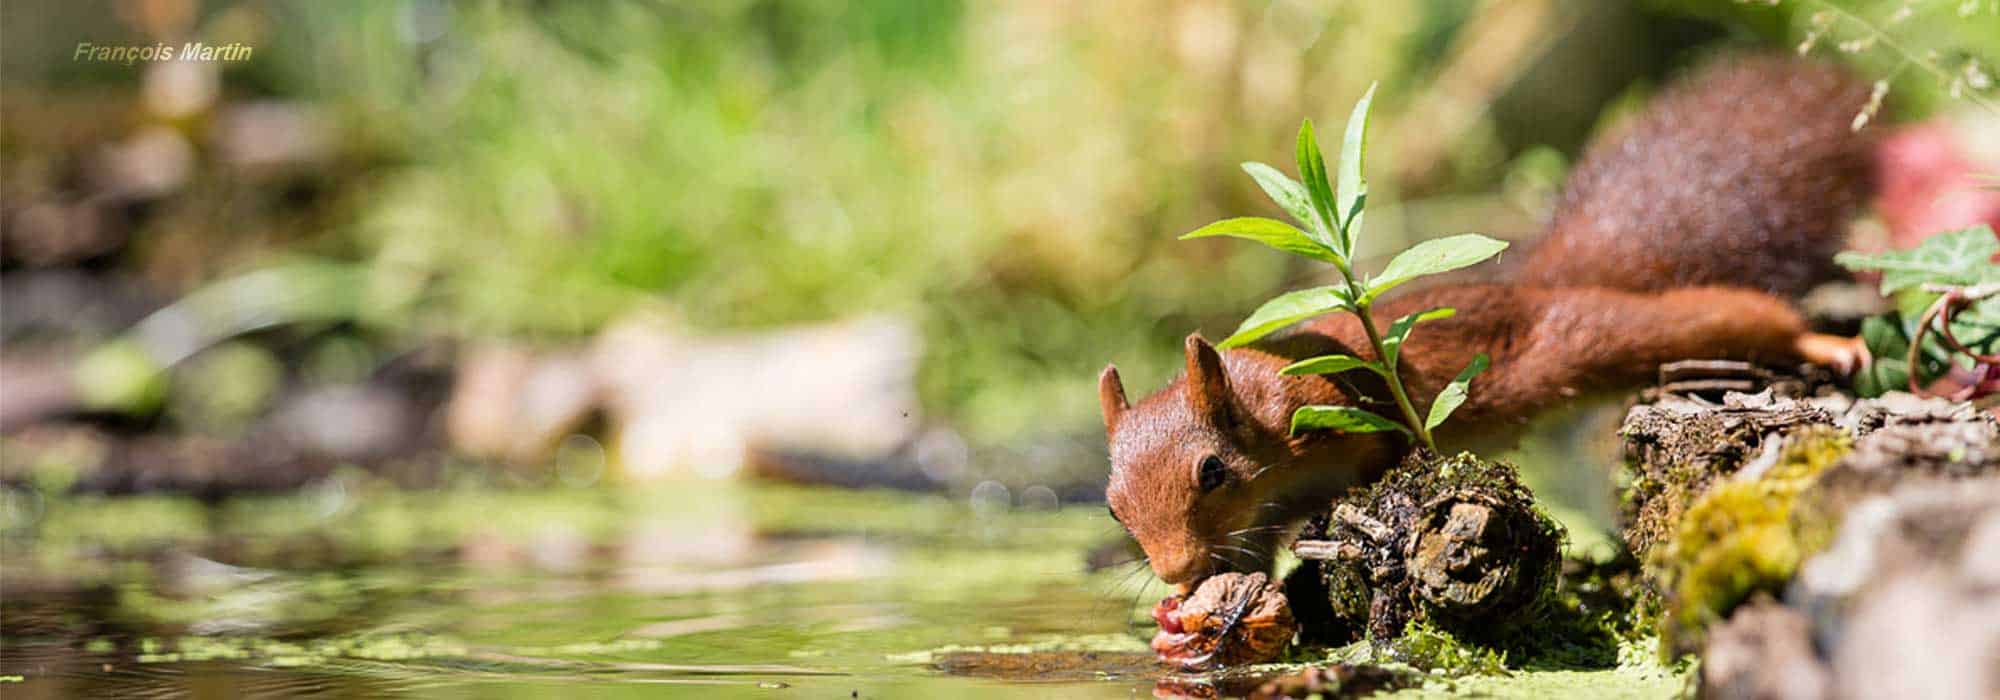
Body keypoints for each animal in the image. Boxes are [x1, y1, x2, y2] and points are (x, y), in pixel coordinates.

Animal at [1104, 56, 1880, 592]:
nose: (1173, 570)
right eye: (1113, 509)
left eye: (1211, 471)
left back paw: (1823, 341)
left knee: (1724, 315)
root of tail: (1539, 279)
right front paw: (1192, 609)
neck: (1260, 416)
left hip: (1598, 334)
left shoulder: (1322, 404)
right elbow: (1251, 555)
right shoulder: (1260, 513)